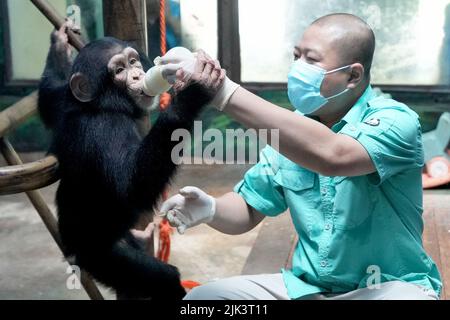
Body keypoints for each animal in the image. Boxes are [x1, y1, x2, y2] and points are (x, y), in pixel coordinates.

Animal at [39, 23, 220, 298]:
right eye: (119, 70)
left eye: (133, 61)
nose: (136, 75)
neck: (105, 106)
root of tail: (72, 252)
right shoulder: (105, 130)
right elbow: (130, 186)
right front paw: (191, 93)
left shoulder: (61, 103)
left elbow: (49, 94)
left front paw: (59, 43)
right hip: (103, 258)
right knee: (162, 277)